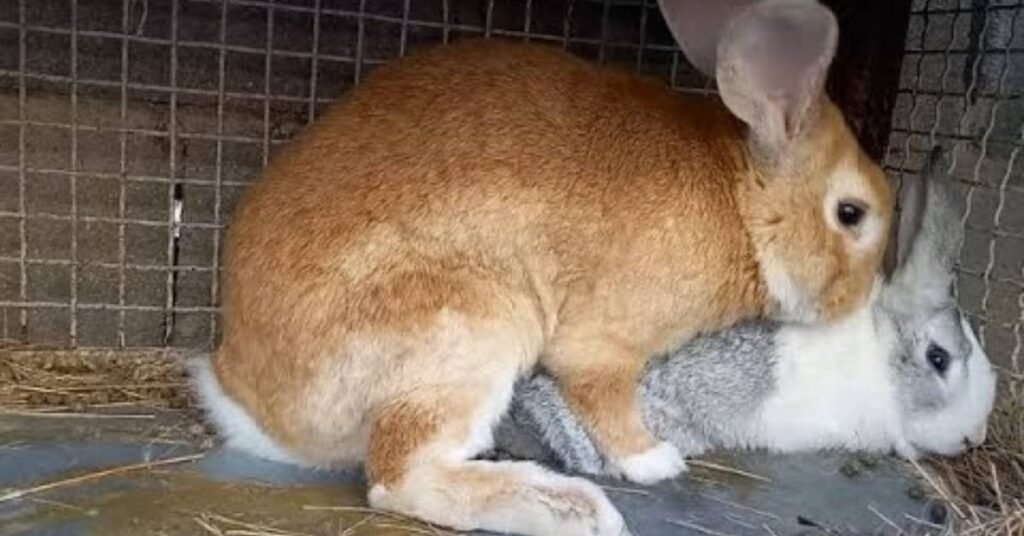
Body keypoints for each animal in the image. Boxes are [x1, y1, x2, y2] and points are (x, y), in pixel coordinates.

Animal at [190, 0, 895, 534]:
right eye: (851, 213)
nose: (859, 301)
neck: (743, 203)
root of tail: (250, 404)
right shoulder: (602, 345)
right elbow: (606, 401)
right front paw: (656, 461)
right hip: (474, 330)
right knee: (399, 479)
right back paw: (571, 509)